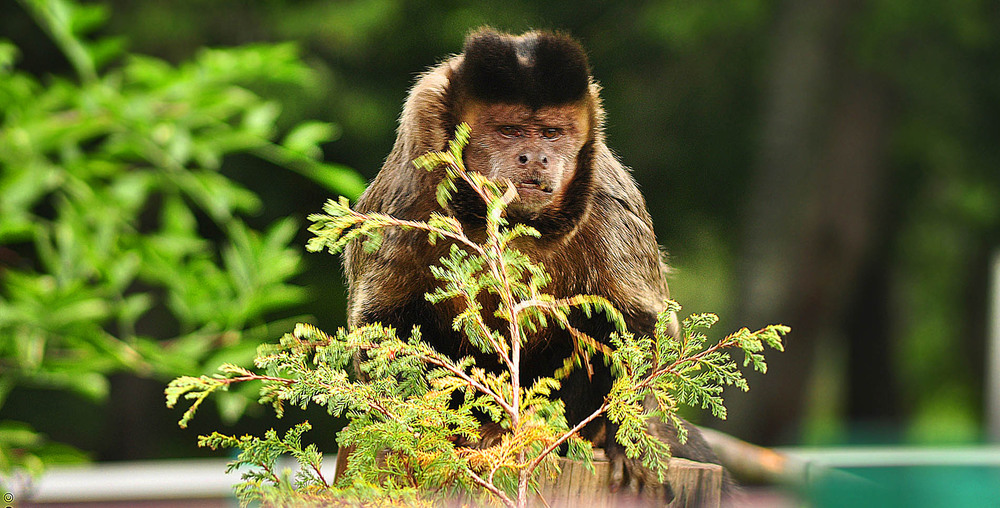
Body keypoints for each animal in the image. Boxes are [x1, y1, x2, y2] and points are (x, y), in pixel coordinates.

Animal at [342, 27, 728, 500]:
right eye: (509, 131)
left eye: (550, 133)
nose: (535, 158)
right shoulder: (408, 198)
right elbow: (383, 321)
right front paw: (423, 430)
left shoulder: (608, 205)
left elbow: (640, 320)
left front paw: (627, 438)